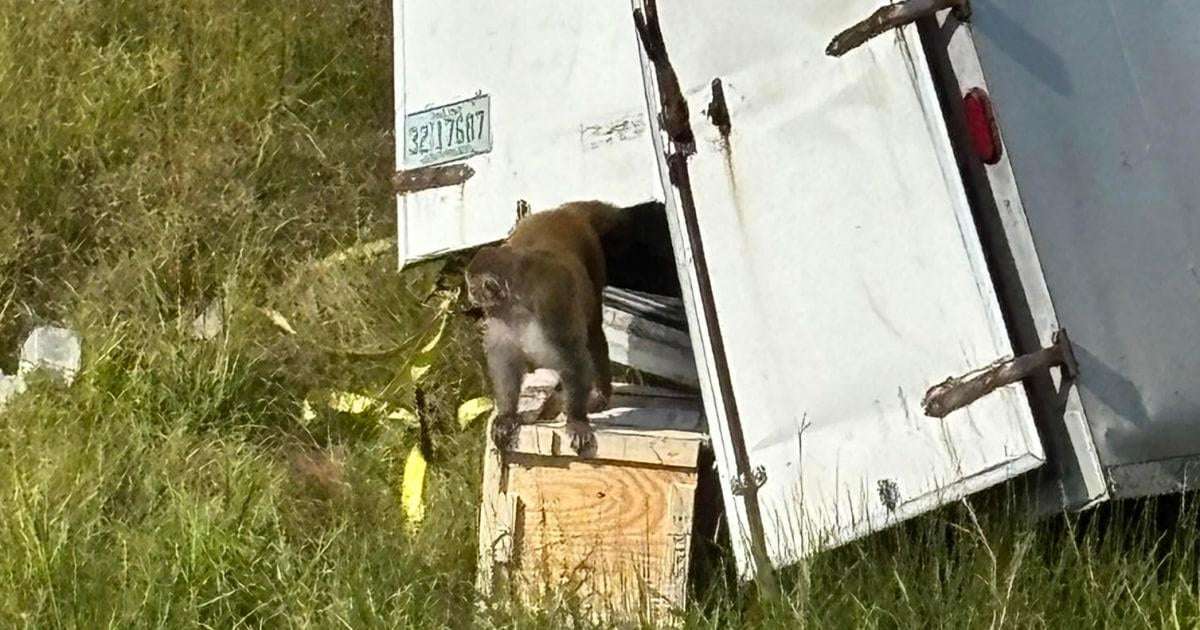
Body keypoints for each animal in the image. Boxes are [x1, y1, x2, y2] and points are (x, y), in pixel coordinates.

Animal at [465, 201, 625, 455]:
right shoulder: (499, 316)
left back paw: (600, 394)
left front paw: (576, 420)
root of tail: (562, 211)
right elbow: (505, 361)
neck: (517, 303)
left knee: (592, 331)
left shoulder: (551, 303)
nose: (470, 296)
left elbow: (572, 356)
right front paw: (507, 415)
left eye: (472, 287)